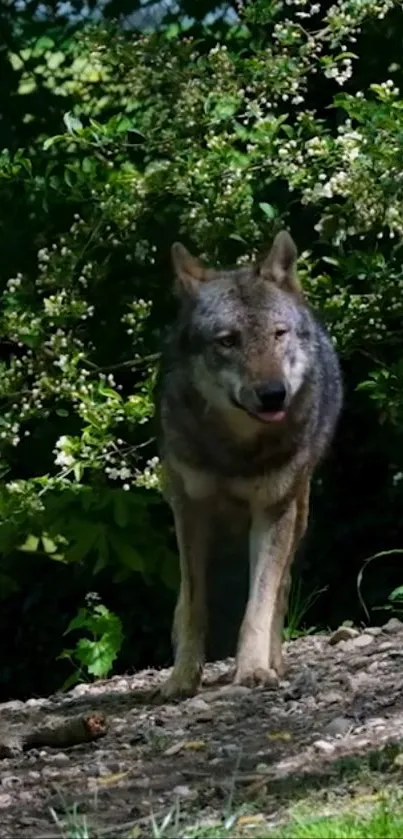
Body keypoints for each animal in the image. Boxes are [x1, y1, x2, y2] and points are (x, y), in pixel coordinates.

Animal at [155, 226, 344, 700]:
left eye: (278, 334)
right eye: (228, 341)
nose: (274, 394)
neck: (235, 452)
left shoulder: (274, 511)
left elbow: (260, 601)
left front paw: (255, 669)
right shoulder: (190, 509)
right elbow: (193, 603)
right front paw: (182, 677)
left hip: (298, 513)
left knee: (280, 591)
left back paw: (274, 662)